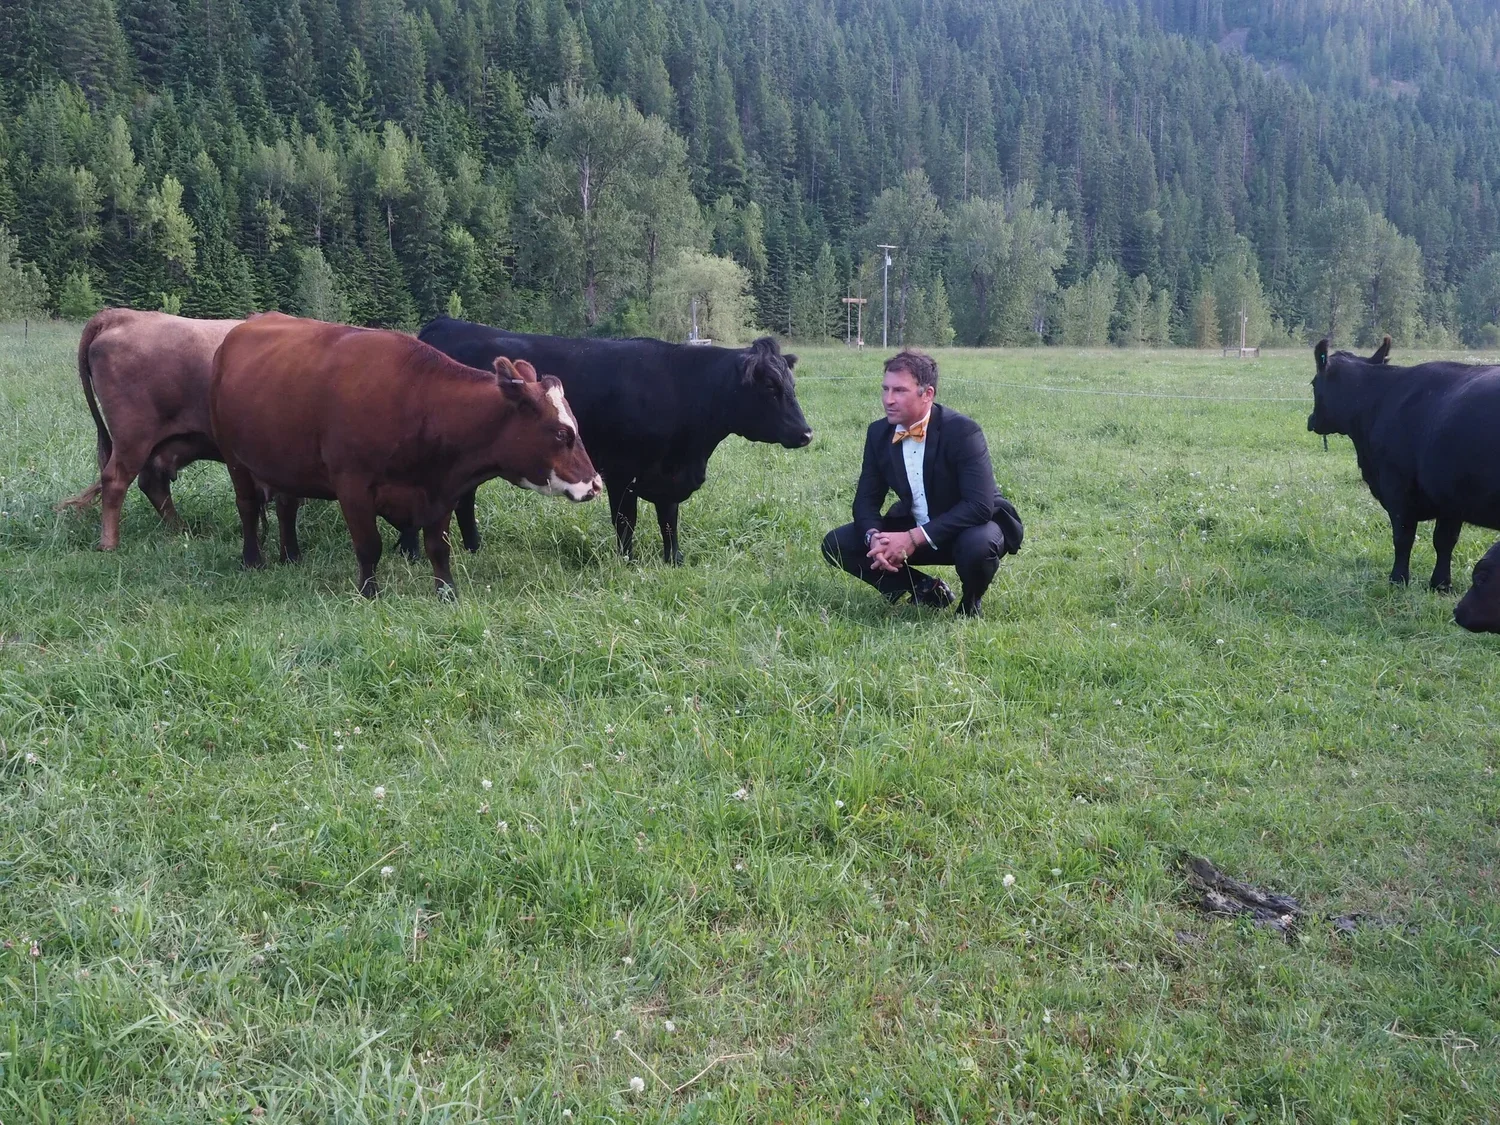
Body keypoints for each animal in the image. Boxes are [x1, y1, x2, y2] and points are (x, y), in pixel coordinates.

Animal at [56, 309, 242, 549]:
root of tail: (121, 314)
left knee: (151, 482)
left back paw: (181, 529)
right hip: (132, 436)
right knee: (116, 480)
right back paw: (109, 544)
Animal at [210, 313, 601, 598]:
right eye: (562, 433)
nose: (595, 484)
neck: (419, 402)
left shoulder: (442, 490)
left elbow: (438, 547)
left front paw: (446, 593)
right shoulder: (353, 486)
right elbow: (369, 545)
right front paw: (369, 593)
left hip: (285, 463)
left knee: (286, 505)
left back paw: (290, 555)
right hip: (235, 458)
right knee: (247, 507)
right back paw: (252, 560)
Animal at [415, 318, 813, 564]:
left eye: (791, 384)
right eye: (769, 387)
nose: (806, 433)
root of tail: (444, 323)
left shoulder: (667, 478)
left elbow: (670, 521)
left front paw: (674, 560)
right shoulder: (622, 474)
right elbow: (626, 522)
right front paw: (628, 562)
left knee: (464, 500)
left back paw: (473, 548)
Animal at [1308, 335, 1500, 590]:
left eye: (1312, 383)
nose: (1311, 420)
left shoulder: (1397, 488)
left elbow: (1403, 537)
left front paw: (1398, 580)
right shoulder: (1450, 496)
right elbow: (1445, 540)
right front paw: (1441, 585)